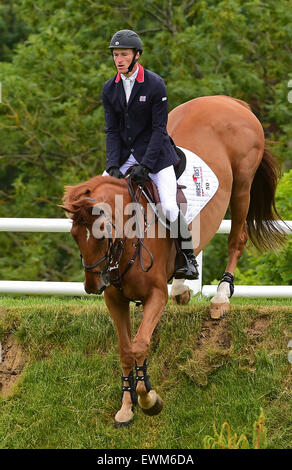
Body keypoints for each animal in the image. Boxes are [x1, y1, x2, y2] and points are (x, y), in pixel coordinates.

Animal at [62, 94, 286, 426]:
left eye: (102, 235)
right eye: (75, 235)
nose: (93, 286)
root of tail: (228, 101)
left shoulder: (155, 295)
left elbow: (140, 344)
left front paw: (148, 398)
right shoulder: (115, 299)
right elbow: (125, 350)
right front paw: (126, 406)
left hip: (243, 185)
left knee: (237, 239)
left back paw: (221, 297)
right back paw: (182, 284)